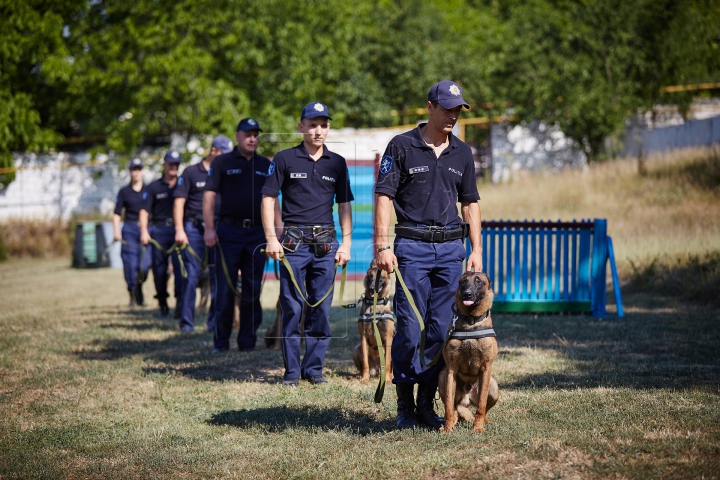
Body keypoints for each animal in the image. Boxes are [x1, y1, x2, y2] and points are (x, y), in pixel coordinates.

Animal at [436, 272, 498, 434]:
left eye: (478, 281)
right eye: (463, 282)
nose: (467, 294)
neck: (471, 322)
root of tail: (466, 398)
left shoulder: (486, 368)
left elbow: (481, 406)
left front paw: (478, 428)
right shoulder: (451, 370)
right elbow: (448, 407)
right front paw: (448, 428)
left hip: (493, 386)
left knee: (482, 409)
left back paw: (484, 421)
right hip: (442, 377)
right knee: (454, 408)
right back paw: (453, 421)